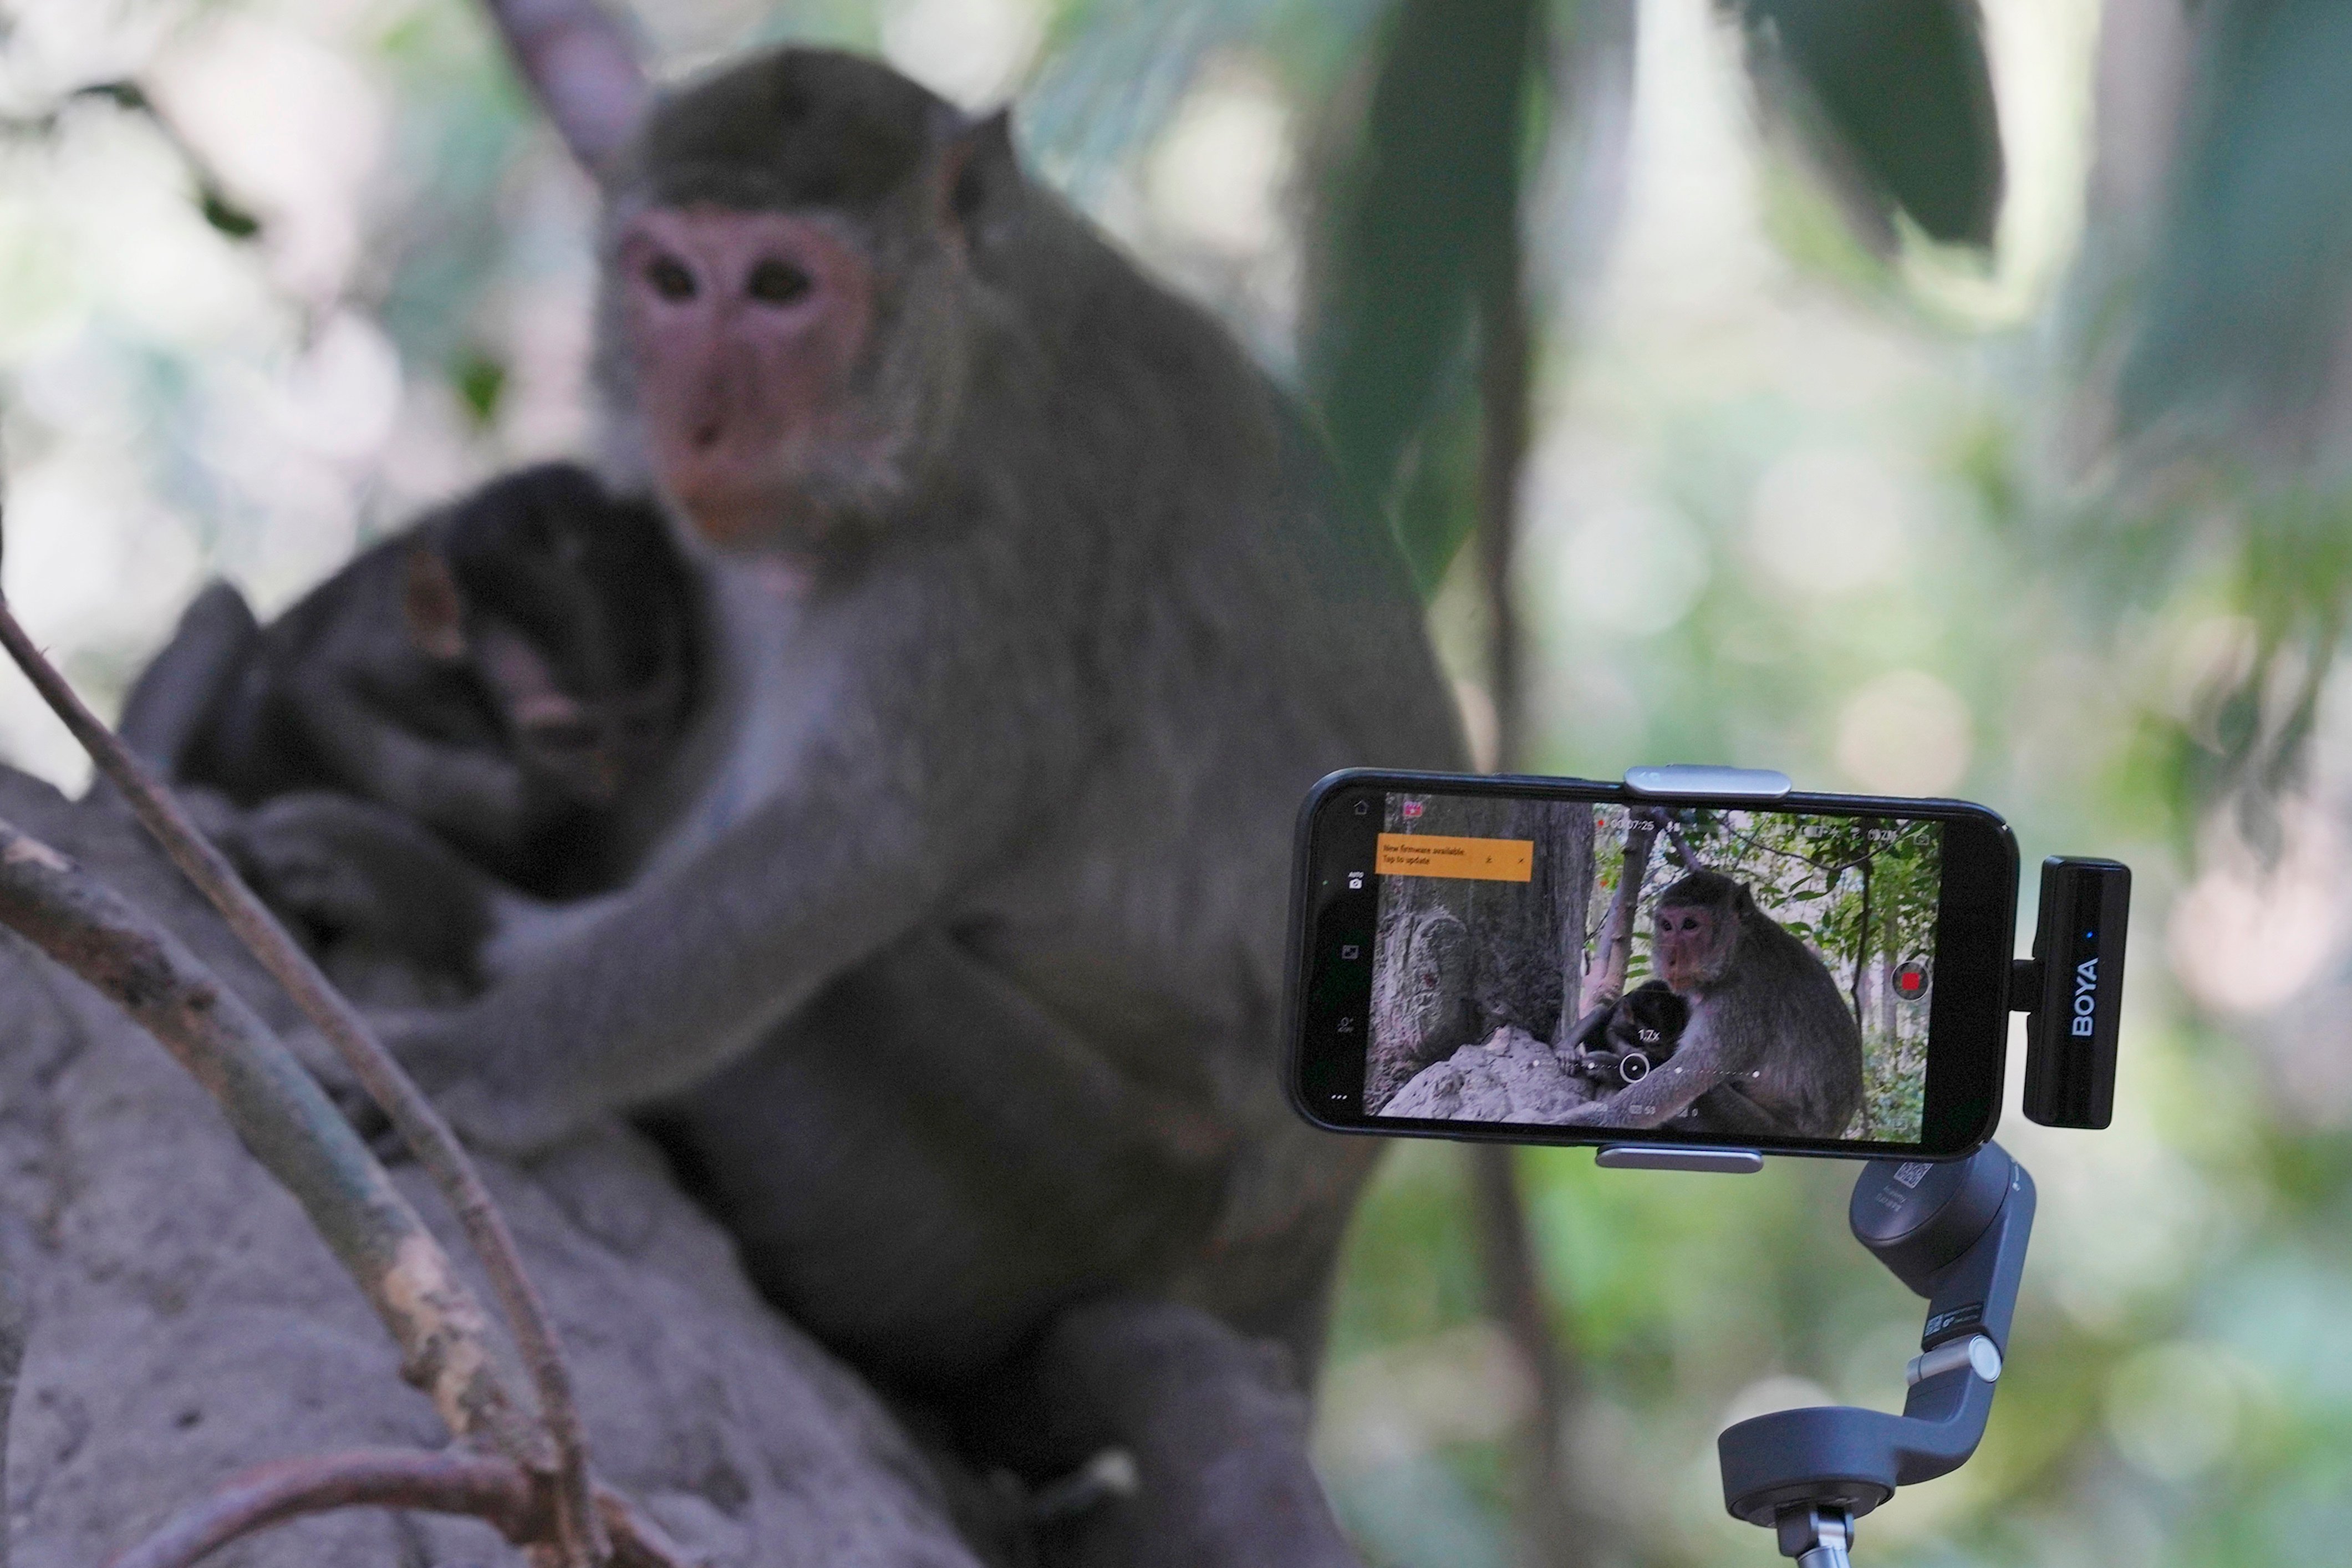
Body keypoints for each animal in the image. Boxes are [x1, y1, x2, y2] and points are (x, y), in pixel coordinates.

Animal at [121, 462, 703, 903]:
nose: (609, 778)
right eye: (567, 738)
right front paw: (512, 803)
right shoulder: (395, 655)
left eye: (642, 727)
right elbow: (313, 688)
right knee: (222, 612)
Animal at [221, 45, 1463, 1564]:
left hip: (1074, 1187)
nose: (696, 423)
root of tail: (1313, 1248)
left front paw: (463, 1064)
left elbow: (855, 850)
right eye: (671, 279)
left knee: (853, 981)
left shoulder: (1011, 534)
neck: (958, 362)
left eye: (780, 289)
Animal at [1556, 871, 1864, 1137]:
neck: (1739, 948)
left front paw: (1589, 1117)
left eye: (1690, 925)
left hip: (1753, 1125)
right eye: (1667, 926)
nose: (1671, 959)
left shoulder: (1740, 1000)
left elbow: (1687, 1074)